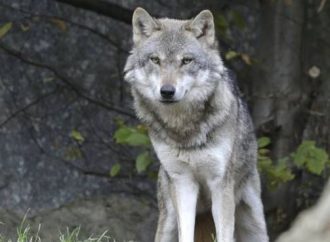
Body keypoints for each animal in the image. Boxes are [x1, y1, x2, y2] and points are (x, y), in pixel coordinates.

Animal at [124, 6, 268, 241]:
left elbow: (225, 235)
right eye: (155, 60)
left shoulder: (220, 185)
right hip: (167, 221)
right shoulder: (183, 183)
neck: (184, 129)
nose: (167, 91)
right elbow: (186, 233)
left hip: (255, 225)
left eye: (186, 60)